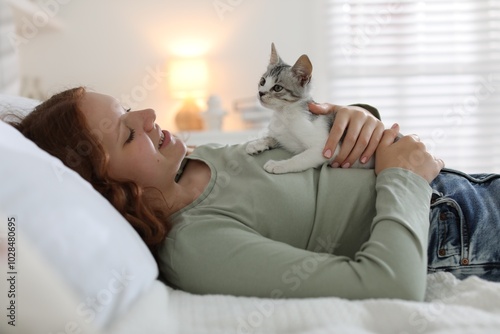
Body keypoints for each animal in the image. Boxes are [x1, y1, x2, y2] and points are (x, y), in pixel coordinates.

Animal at [246, 42, 376, 174]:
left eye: (277, 88)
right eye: (262, 81)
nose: (261, 93)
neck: (284, 114)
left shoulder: (326, 149)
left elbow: (299, 158)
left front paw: (279, 165)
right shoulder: (282, 135)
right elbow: (274, 137)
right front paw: (257, 143)